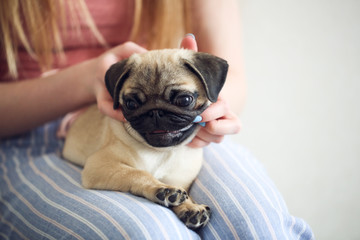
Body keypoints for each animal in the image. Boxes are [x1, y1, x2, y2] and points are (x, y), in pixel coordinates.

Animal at [62, 48, 228, 229]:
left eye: (184, 100)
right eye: (131, 104)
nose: (155, 111)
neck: (161, 152)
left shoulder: (180, 179)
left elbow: (185, 195)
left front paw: (190, 207)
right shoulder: (100, 164)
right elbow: (137, 173)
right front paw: (163, 190)